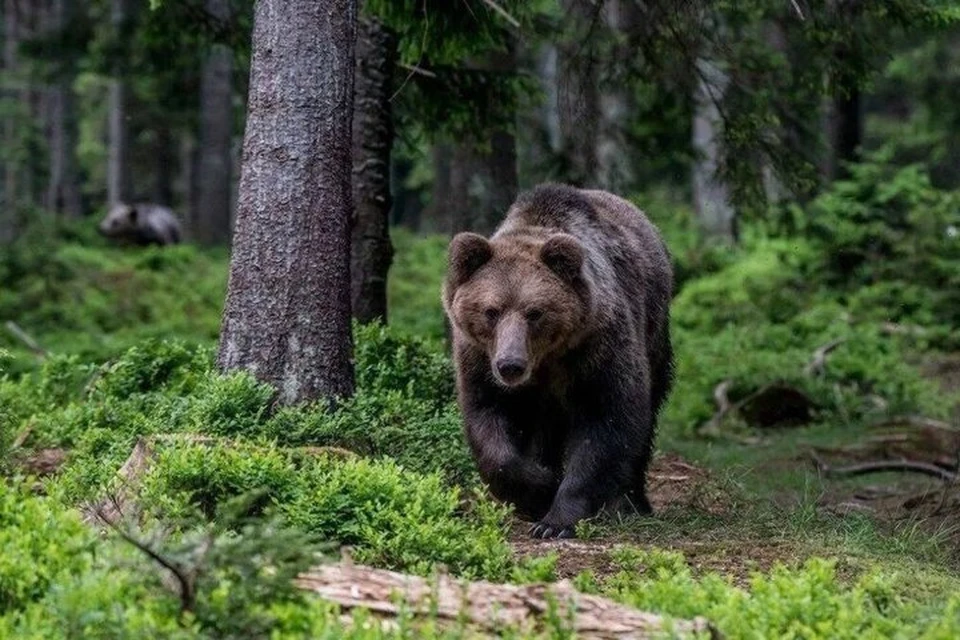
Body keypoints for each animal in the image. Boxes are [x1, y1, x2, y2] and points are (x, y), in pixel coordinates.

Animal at [442, 182, 676, 536]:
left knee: (648, 411)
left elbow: (607, 421)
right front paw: (539, 489)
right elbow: (488, 422)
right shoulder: (480, 359)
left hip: (654, 331)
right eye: (491, 311)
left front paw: (556, 520)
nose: (510, 365)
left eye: (535, 312)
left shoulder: (597, 350)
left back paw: (632, 501)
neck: (546, 361)